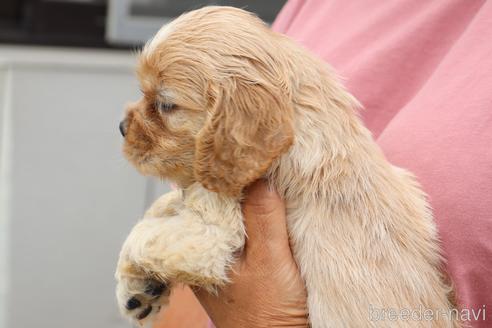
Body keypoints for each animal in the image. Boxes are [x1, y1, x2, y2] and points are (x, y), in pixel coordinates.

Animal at [116, 6, 462, 326]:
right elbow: (163, 205)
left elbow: (141, 235)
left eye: (166, 105)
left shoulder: (214, 235)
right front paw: (136, 289)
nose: (121, 127)